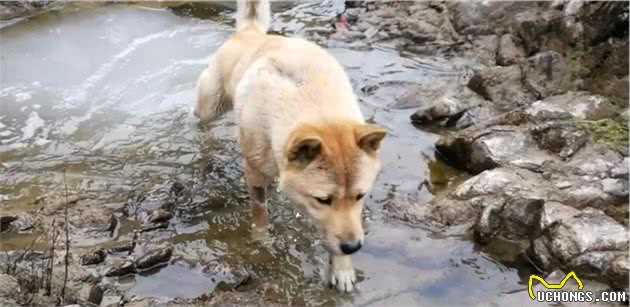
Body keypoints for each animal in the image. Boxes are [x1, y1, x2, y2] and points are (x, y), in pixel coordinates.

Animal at [195, 0, 388, 294]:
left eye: (360, 196)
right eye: (323, 199)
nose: (353, 247)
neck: (315, 107)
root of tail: (251, 32)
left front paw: (342, 268)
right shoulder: (254, 170)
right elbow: (260, 211)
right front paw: (261, 241)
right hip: (210, 105)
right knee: (202, 122)